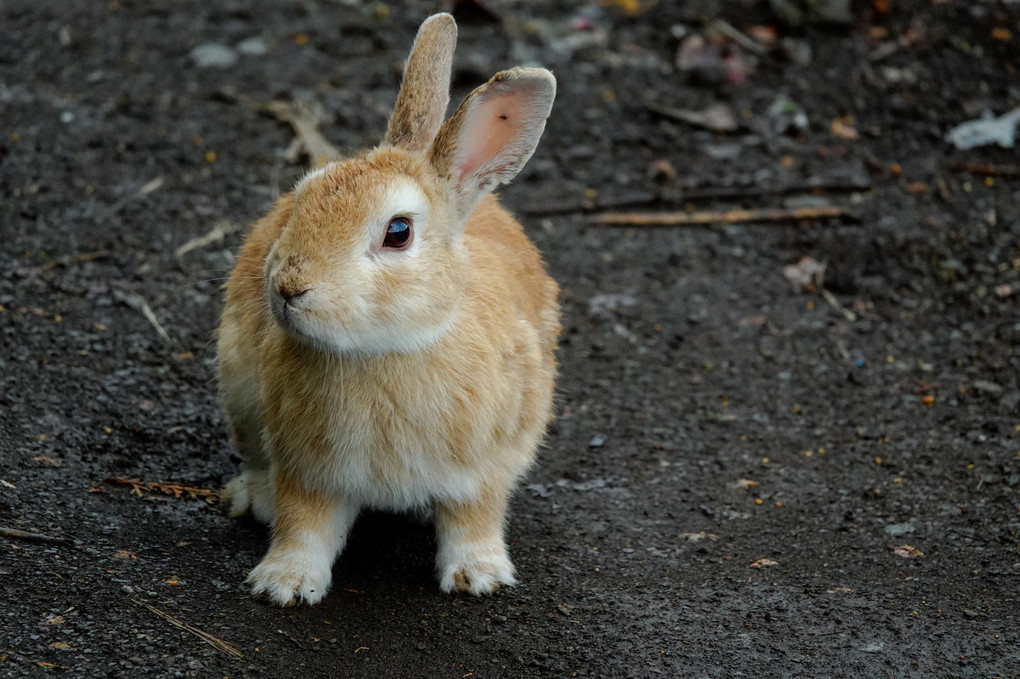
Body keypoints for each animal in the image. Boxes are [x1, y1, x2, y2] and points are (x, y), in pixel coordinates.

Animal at [218, 11, 563, 603]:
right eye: (303, 196)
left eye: (398, 232)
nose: (288, 286)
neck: (388, 350)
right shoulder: (307, 468)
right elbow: (302, 524)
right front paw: (284, 585)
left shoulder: (484, 465)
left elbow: (475, 518)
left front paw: (478, 577)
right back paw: (252, 500)